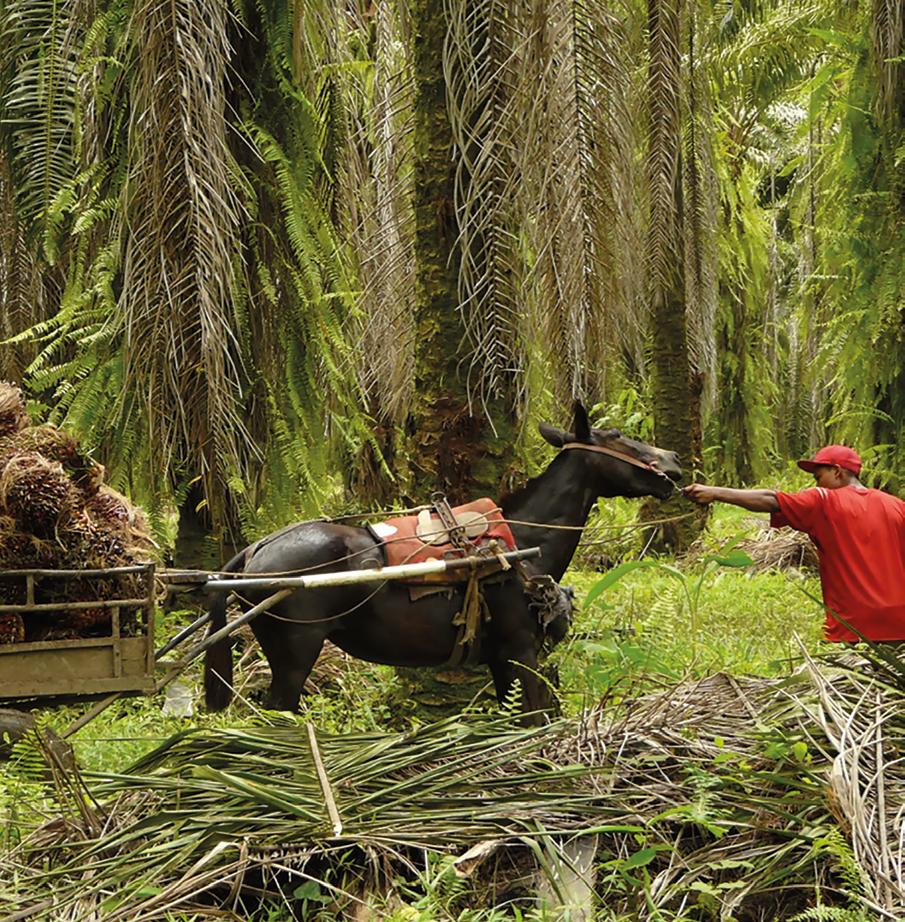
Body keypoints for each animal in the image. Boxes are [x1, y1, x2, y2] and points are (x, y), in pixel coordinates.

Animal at [203, 404, 680, 720]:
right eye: (616, 435)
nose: (673, 461)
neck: (521, 543)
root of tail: (256, 550)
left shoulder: (500, 658)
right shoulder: (522, 650)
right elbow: (534, 719)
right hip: (295, 656)